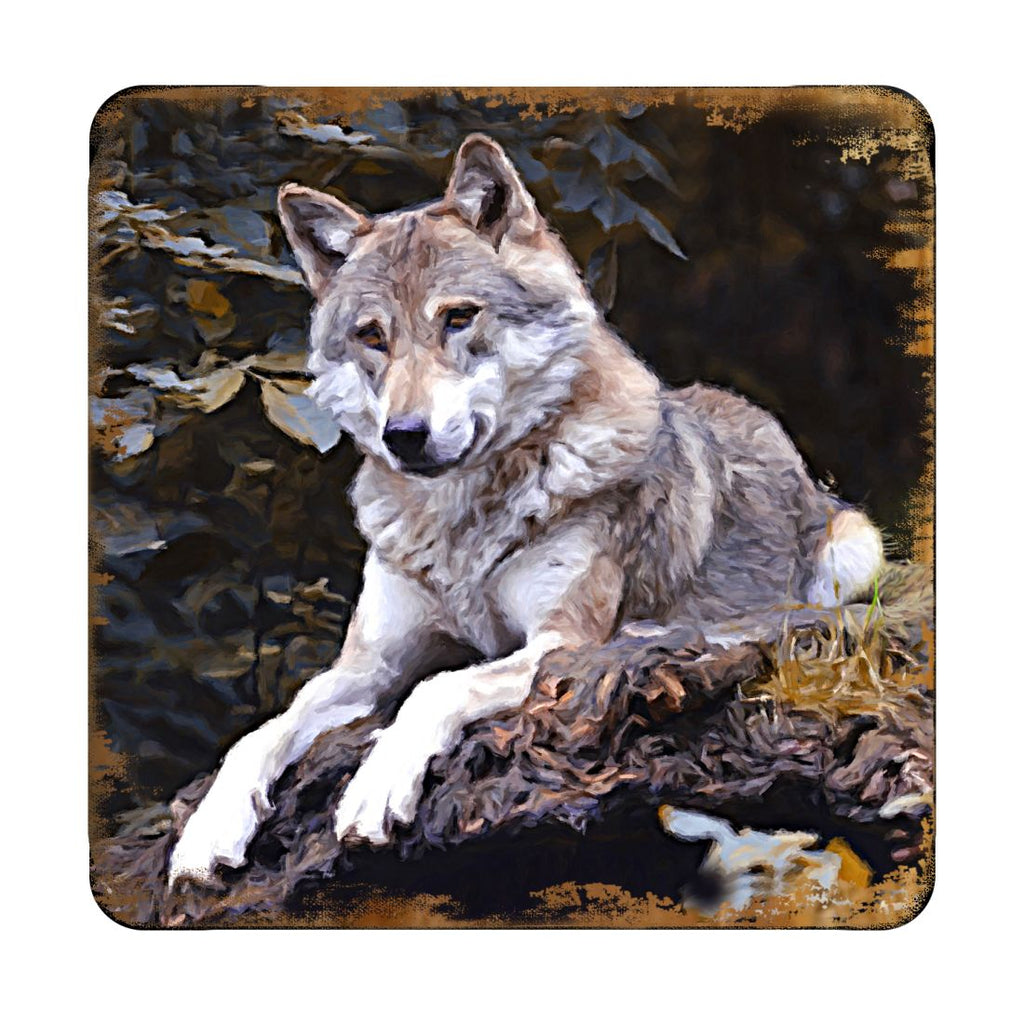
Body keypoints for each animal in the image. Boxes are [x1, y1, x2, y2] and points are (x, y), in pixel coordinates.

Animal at [167, 134, 884, 886]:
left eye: (458, 318)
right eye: (372, 336)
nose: (403, 435)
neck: (460, 525)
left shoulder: (558, 643)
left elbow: (437, 688)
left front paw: (373, 791)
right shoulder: (368, 667)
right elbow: (261, 731)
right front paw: (206, 833)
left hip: (855, 549)